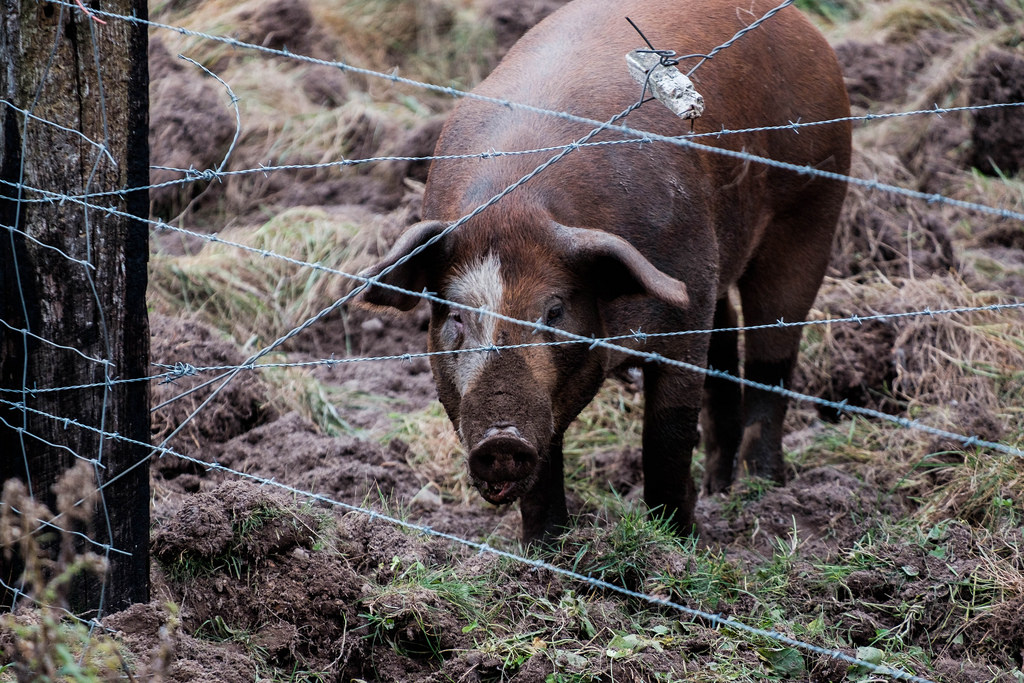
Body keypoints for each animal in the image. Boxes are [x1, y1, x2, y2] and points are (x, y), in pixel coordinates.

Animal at [356, 0, 851, 544]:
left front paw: (677, 542)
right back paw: (721, 487)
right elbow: (547, 461)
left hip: (814, 199)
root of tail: (803, 27)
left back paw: (762, 488)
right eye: (456, 317)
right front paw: (544, 549)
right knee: (726, 344)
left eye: (554, 310)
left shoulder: (684, 303)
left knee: (773, 352)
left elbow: (668, 434)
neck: (513, 202)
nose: (501, 441)